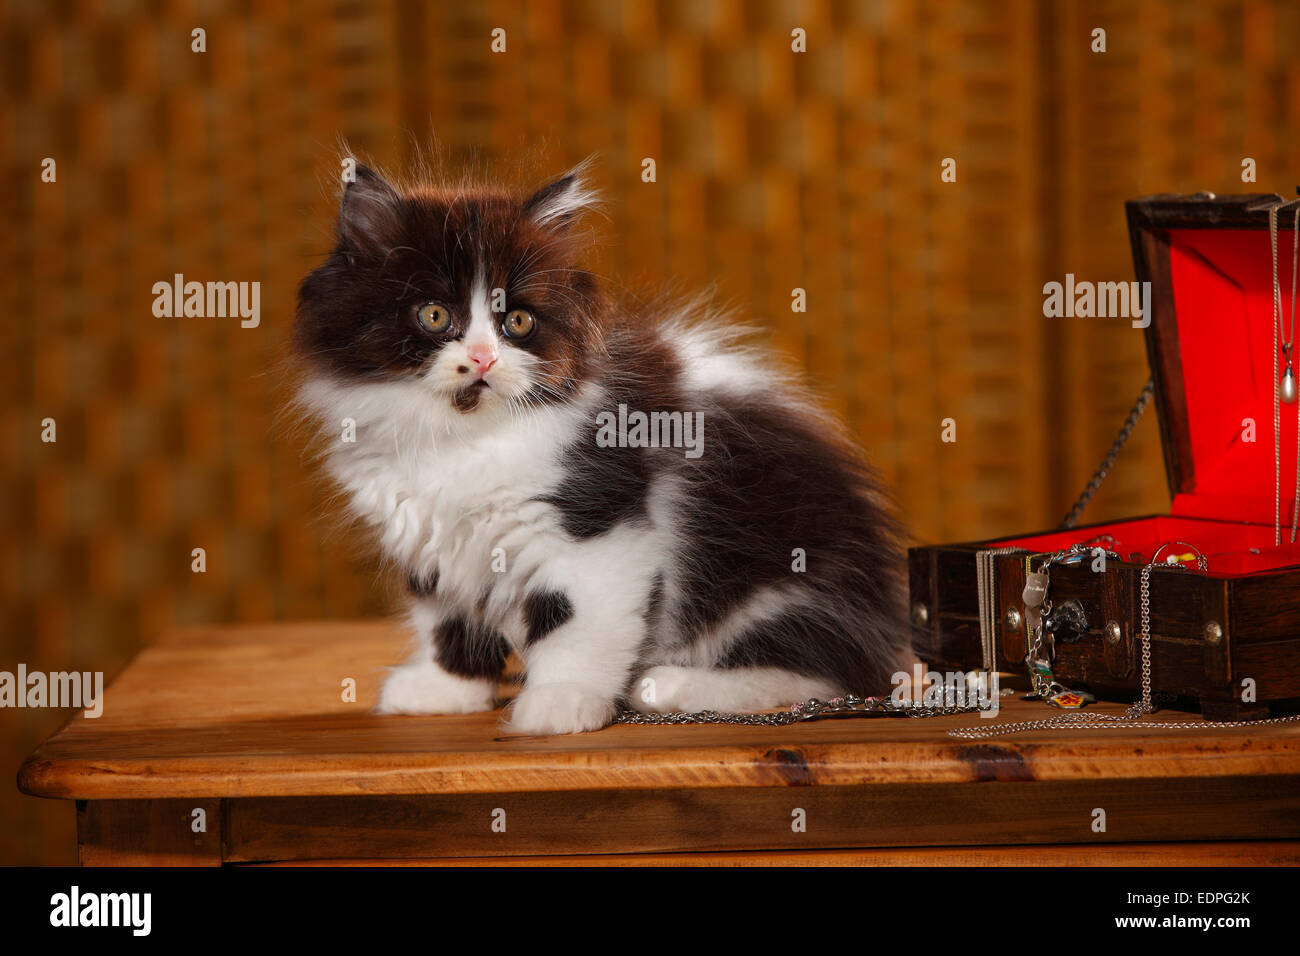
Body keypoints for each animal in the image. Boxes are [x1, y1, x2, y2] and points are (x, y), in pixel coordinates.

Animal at [291, 160, 909, 738]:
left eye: (518, 321)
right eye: (435, 315)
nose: (484, 358)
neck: (461, 440)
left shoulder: (598, 528)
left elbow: (576, 621)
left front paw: (559, 703)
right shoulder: (430, 541)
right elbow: (446, 619)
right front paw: (445, 688)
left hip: (783, 578)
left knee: (821, 669)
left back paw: (673, 685)